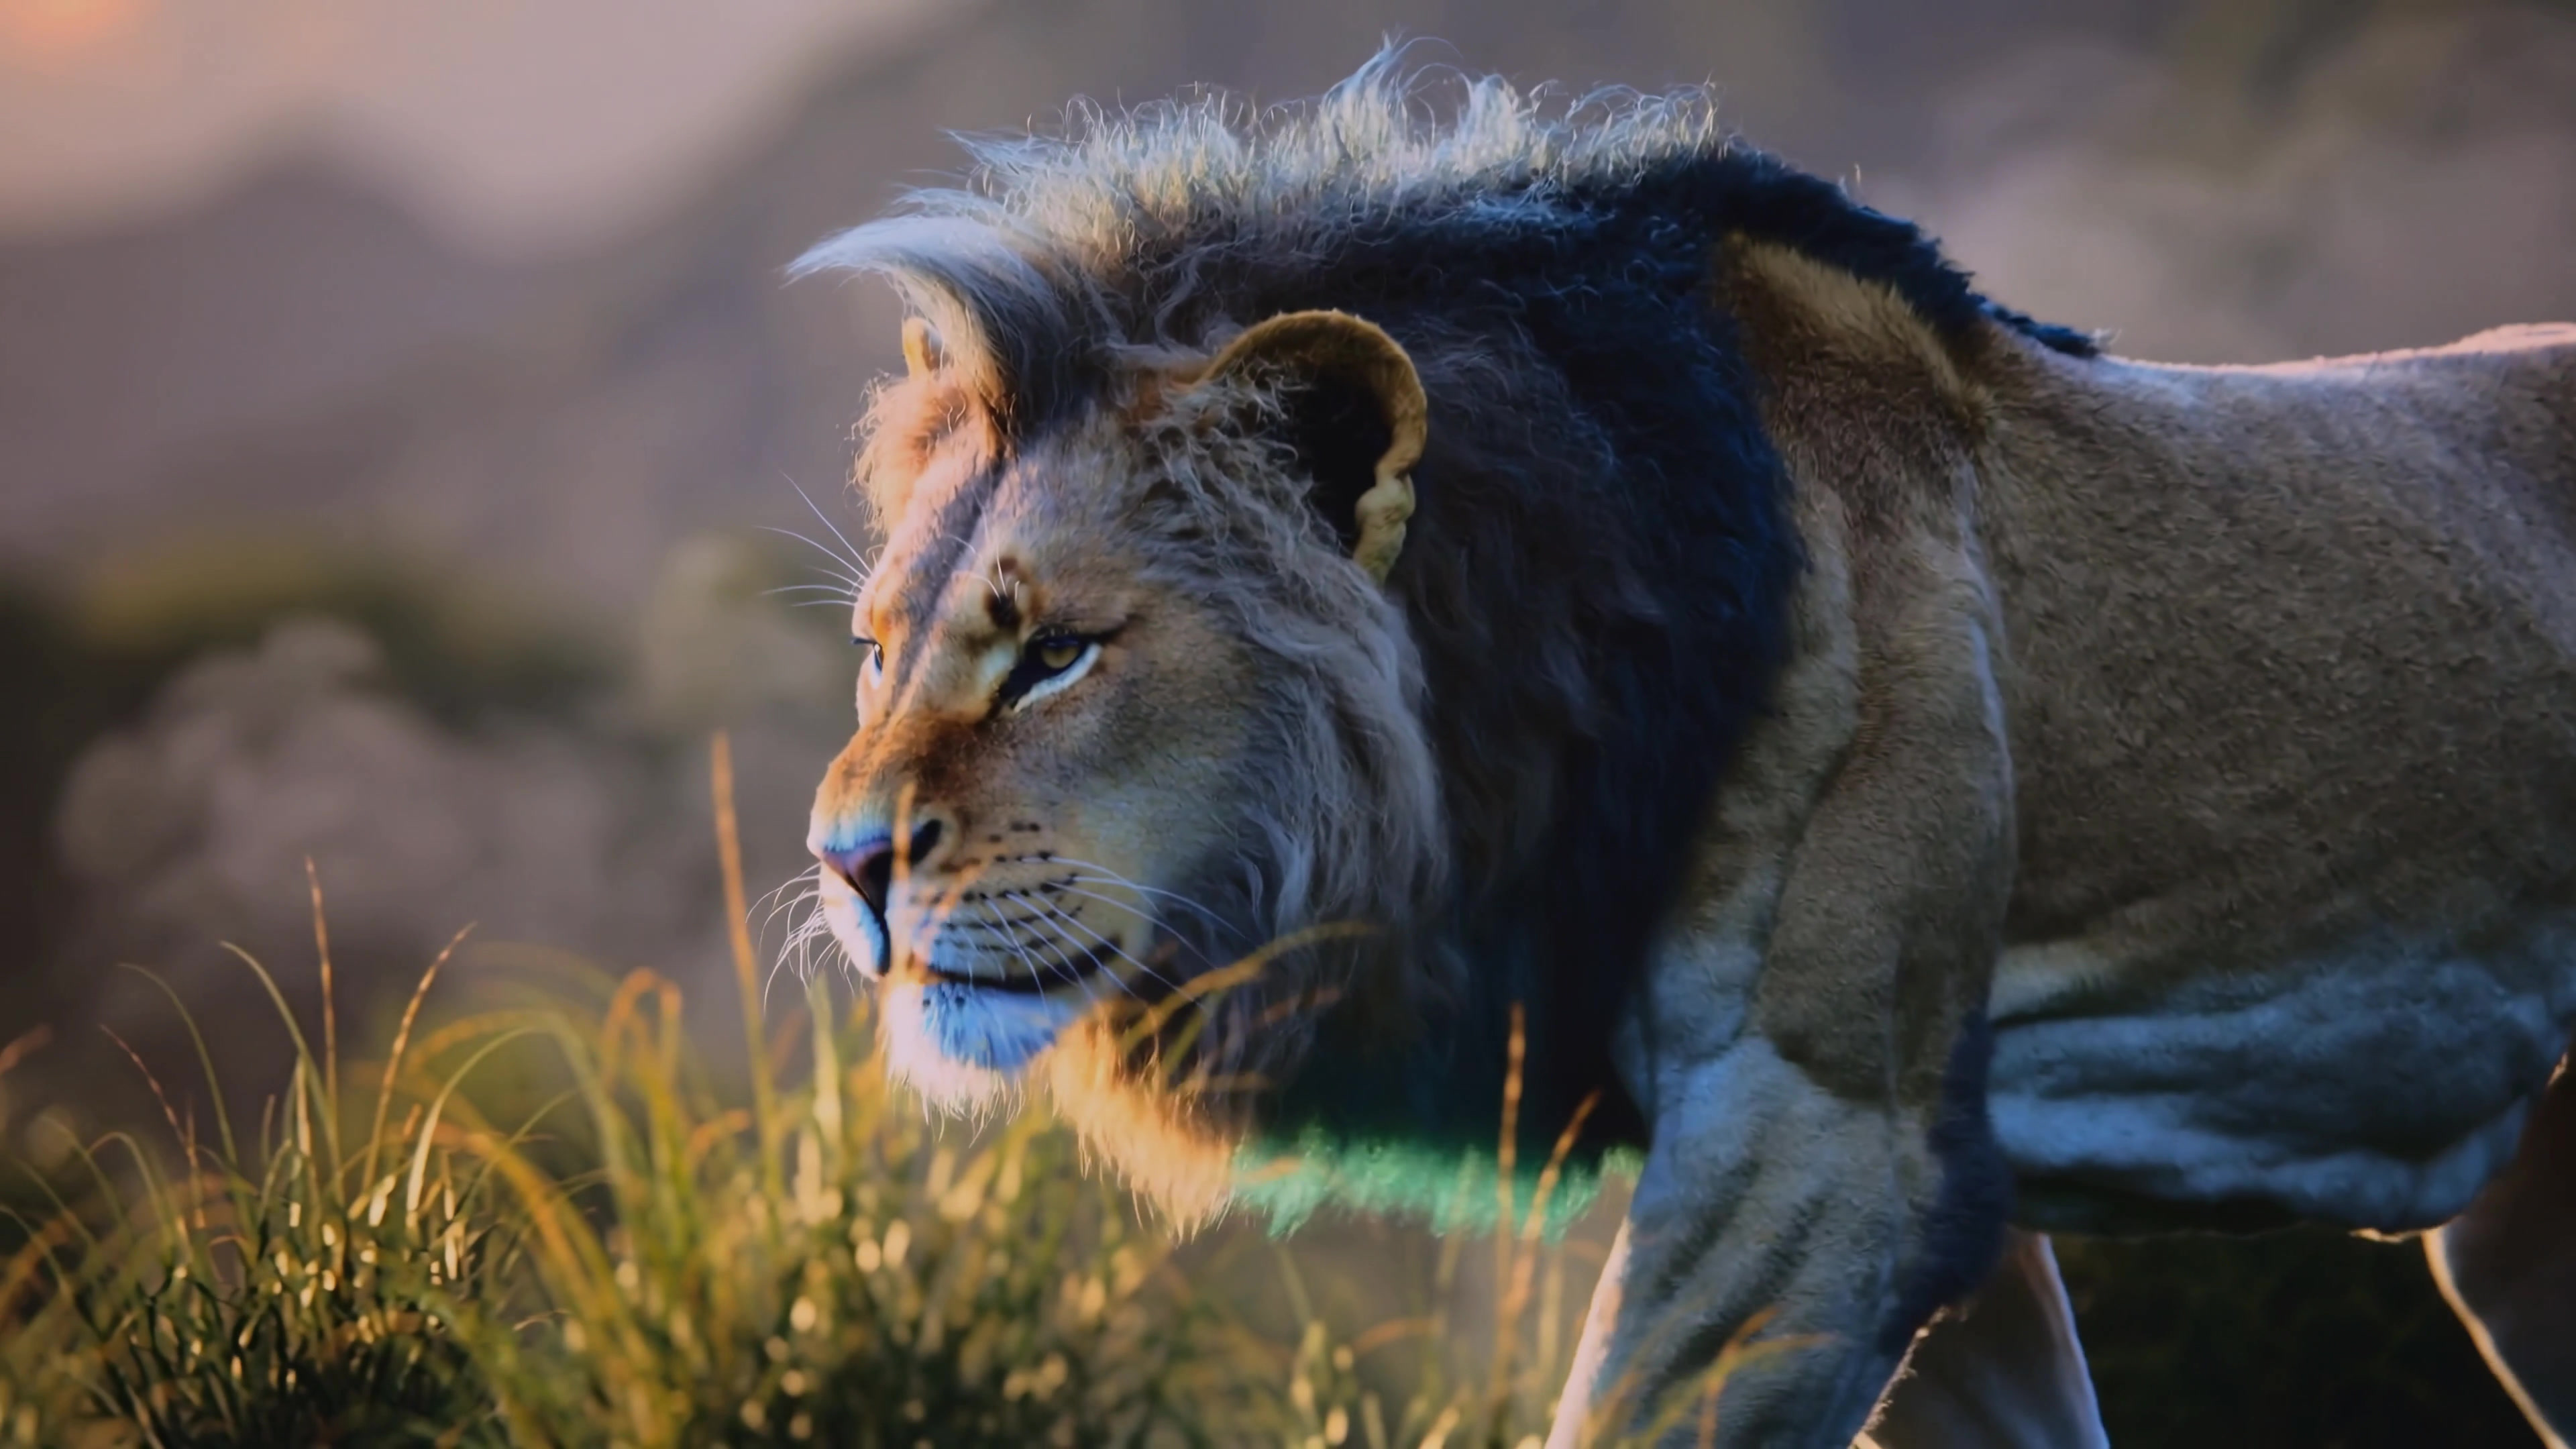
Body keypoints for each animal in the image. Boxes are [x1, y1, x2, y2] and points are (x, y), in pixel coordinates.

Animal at [790, 57, 2576, 1449]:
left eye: (1055, 654)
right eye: (878, 652)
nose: (844, 866)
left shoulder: (1816, 1143)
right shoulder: (1932, 1181)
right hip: (2517, 1243)